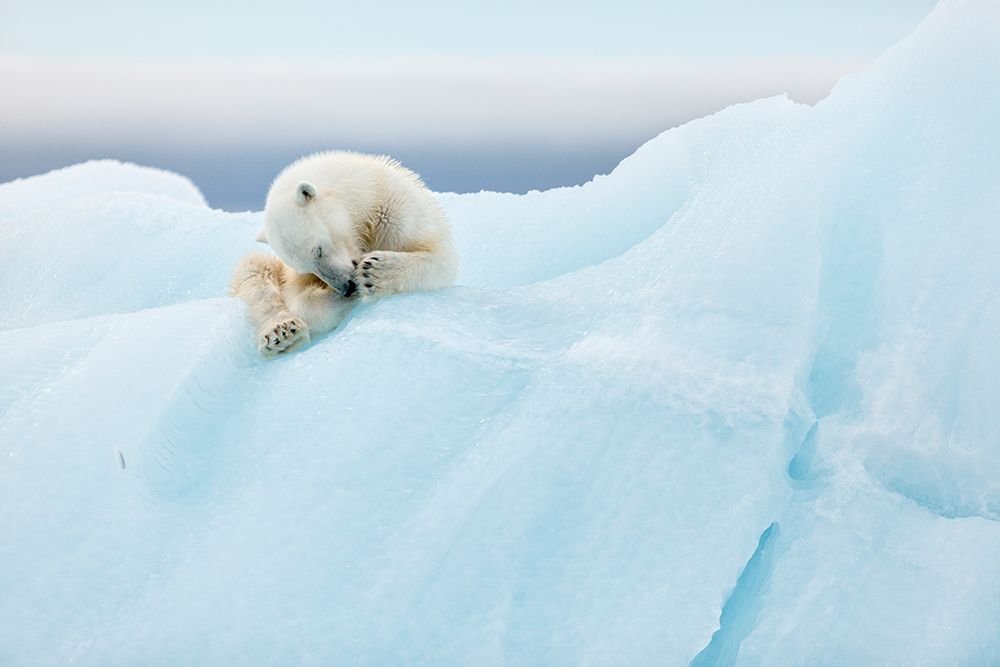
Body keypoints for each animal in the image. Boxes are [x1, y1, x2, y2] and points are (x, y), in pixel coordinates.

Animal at [230, 151, 458, 355]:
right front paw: (342, 297)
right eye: (307, 269)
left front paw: (374, 271)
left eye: (318, 250)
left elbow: (441, 259)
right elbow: (298, 297)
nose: (346, 287)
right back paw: (282, 333)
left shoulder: (397, 212)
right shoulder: (291, 274)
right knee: (253, 270)